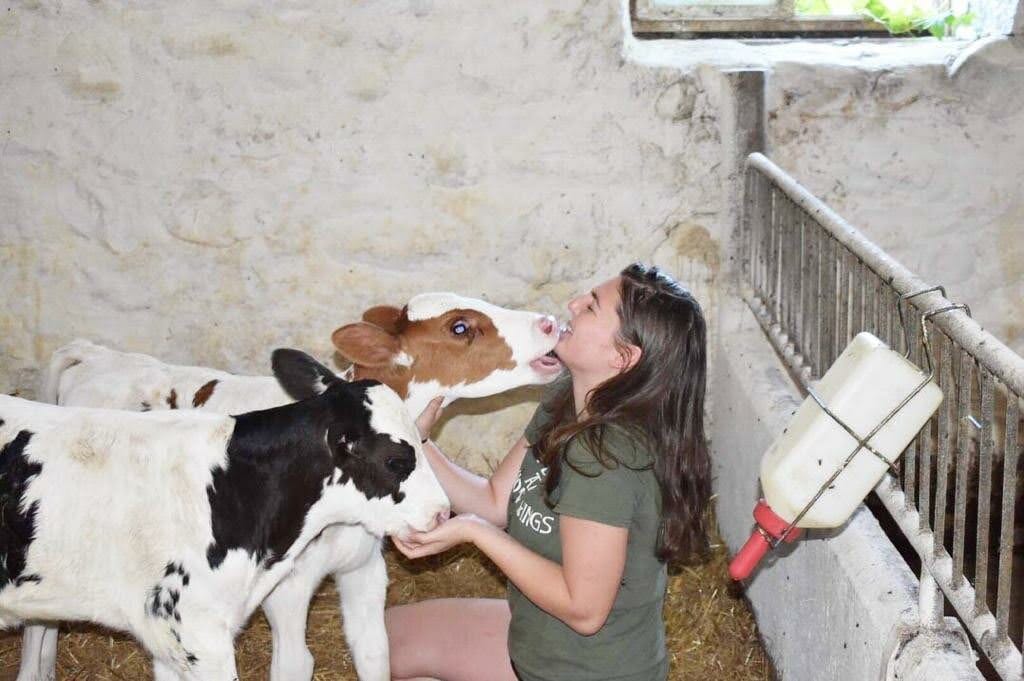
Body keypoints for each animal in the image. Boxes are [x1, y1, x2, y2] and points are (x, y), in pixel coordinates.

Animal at [0, 356, 448, 679]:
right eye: (396, 460)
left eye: (425, 439)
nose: (443, 512)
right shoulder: (197, 633)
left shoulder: (173, 640)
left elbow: (373, 650)